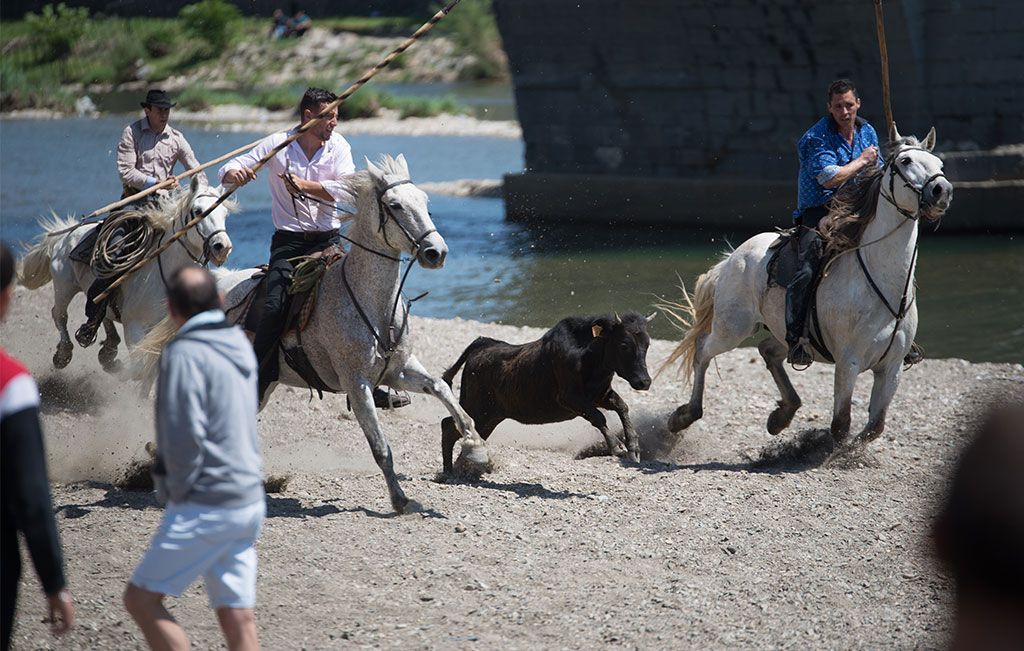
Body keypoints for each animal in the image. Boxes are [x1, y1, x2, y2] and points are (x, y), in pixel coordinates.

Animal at [18, 177, 234, 370]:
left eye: (225, 213)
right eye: (198, 211)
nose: (222, 247)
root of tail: (64, 234)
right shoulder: (134, 327)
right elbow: (139, 368)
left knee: (101, 312)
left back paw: (107, 352)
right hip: (64, 286)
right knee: (59, 314)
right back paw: (64, 354)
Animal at [139, 155, 487, 511]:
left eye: (425, 202)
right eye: (395, 205)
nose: (436, 252)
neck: (371, 301)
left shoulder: (399, 370)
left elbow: (442, 388)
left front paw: (475, 446)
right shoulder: (356, 383)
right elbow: (381, 447)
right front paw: (400, 499)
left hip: (264, 383)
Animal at [436, 311, 651, 472]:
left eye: (647, 343)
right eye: (624, 344)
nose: (644, 381)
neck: (588, 355)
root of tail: (481, 345)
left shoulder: (600, 395)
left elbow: (622, 407)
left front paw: (634, 447)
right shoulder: (569, 398)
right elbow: (599, 417)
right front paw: (618, 447)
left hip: (489, 417)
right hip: (478, 409)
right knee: (449, 426)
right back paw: (449, 473)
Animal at [663, 127, 950, 450]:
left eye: (939, 164)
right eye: (905, 160)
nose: (942, 190)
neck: (883, 283)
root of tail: (732, 258)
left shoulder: (892, 366)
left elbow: (875, 427)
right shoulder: (848, 362)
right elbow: (841, 425)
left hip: (786, 333)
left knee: (768, 350)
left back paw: (782, 415)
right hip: (733, 328)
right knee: (703, 351)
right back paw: (684, 416)